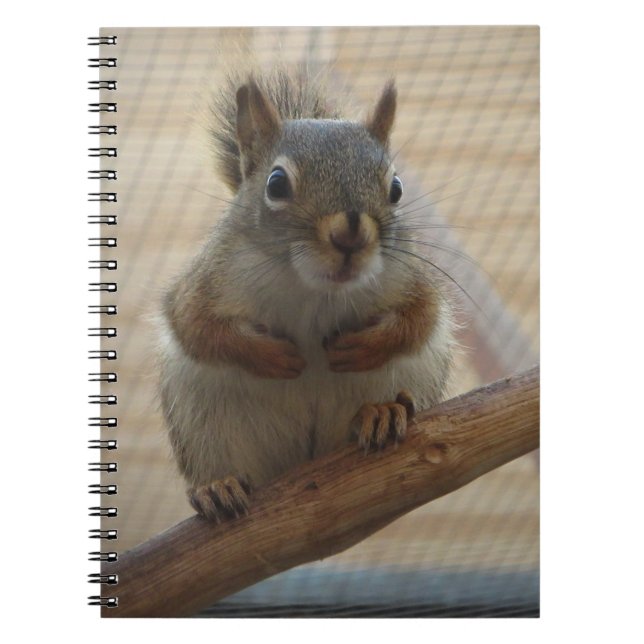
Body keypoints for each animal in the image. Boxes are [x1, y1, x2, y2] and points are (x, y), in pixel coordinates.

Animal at [158, 68, 455, 522]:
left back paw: (381, 412)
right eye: (276, 183)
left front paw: (364, 347)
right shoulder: (207, 281)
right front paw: (271, 356)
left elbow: (421, 318)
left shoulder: (409, 277)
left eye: (397, 188)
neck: (314, 287)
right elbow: (197, 327)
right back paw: (217, 486)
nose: (350, 234)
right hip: (201, 420)